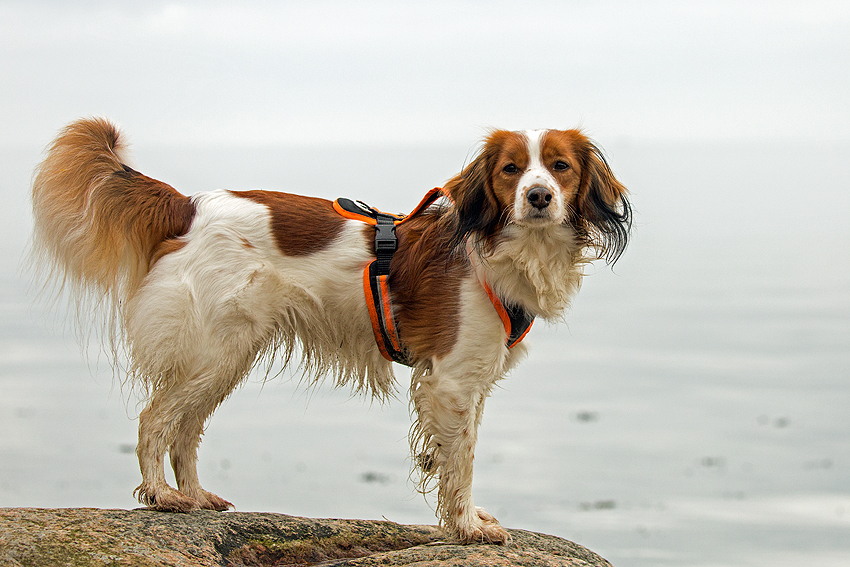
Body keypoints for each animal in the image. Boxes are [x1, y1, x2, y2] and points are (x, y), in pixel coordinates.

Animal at [29, 117, 628, 544]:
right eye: (510, 170)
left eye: (559, 166)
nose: (538, 196)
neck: (501, 252)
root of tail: (190, 206)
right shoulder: (453, 380)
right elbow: (460, 461)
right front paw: (465, 528)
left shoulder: (472, 380)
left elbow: (461, 453)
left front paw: (468, 520)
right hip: (213, 350)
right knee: (156, 420)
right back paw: (161, 495)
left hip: (227, 355)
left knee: (186, 430)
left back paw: (195, 497)